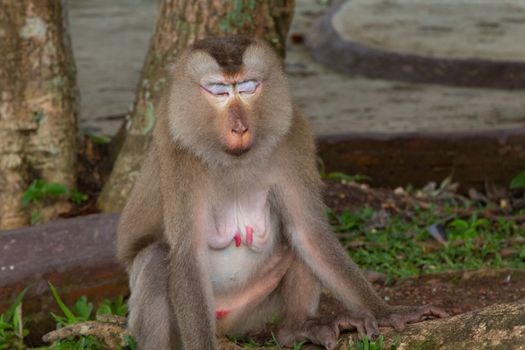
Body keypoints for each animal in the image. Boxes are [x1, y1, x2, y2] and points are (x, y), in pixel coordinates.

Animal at [118, 36, 446, 350]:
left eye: (248, 88)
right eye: (219, 92)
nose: (239, 127)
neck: (233, 159)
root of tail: (225, 326)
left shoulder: (293, 135)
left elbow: (309, 232)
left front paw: (386, 312)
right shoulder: (177, 153)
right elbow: (187, 255)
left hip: (251, 311)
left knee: (297, 241)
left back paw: (296, 328)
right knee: (156, 260)